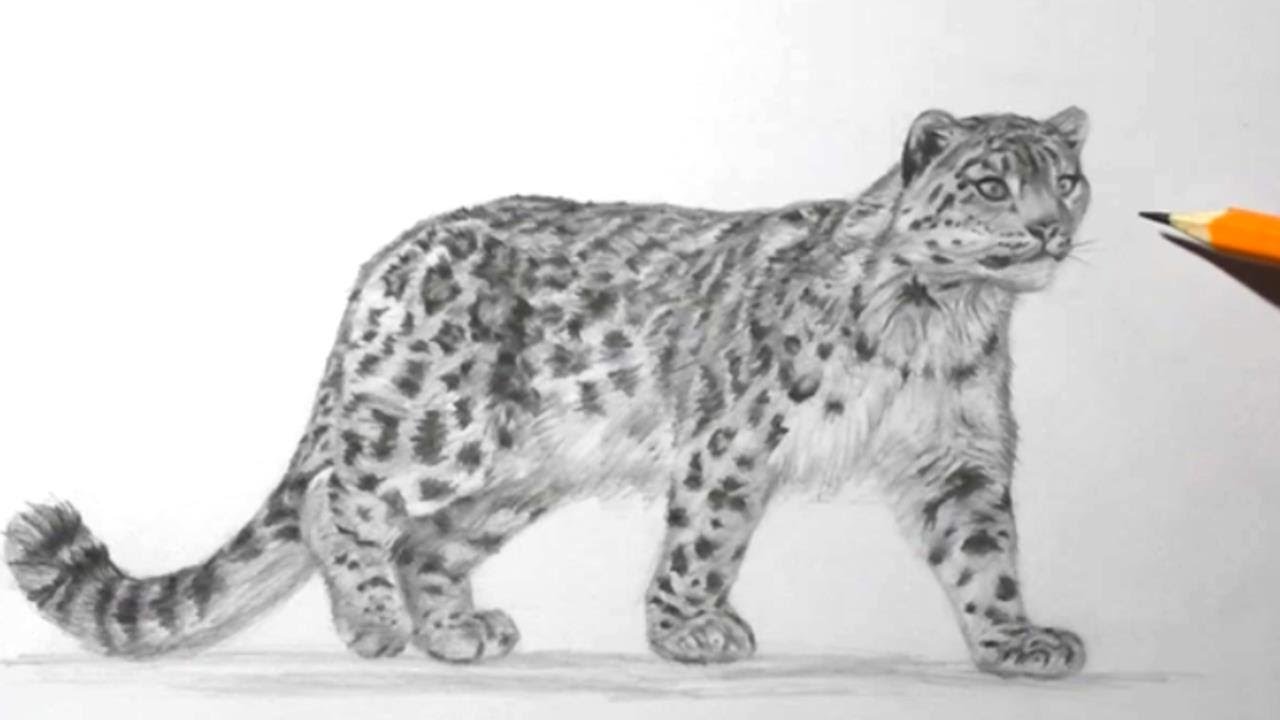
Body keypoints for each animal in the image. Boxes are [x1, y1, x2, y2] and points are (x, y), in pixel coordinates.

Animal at [6, 106, 1091, 678]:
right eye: (990, 184)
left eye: (1067, 178)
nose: (1048, 228)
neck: (945, 318)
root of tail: (389, 261)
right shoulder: (733, 438)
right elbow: (704, 540)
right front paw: (689, 631)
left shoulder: (957, 458)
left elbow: (984, 558)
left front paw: (1016, 642)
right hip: (441, 430)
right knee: (335, 495)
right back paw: (372, 624)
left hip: (517, 477)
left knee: (428, 544)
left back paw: (457, 633)